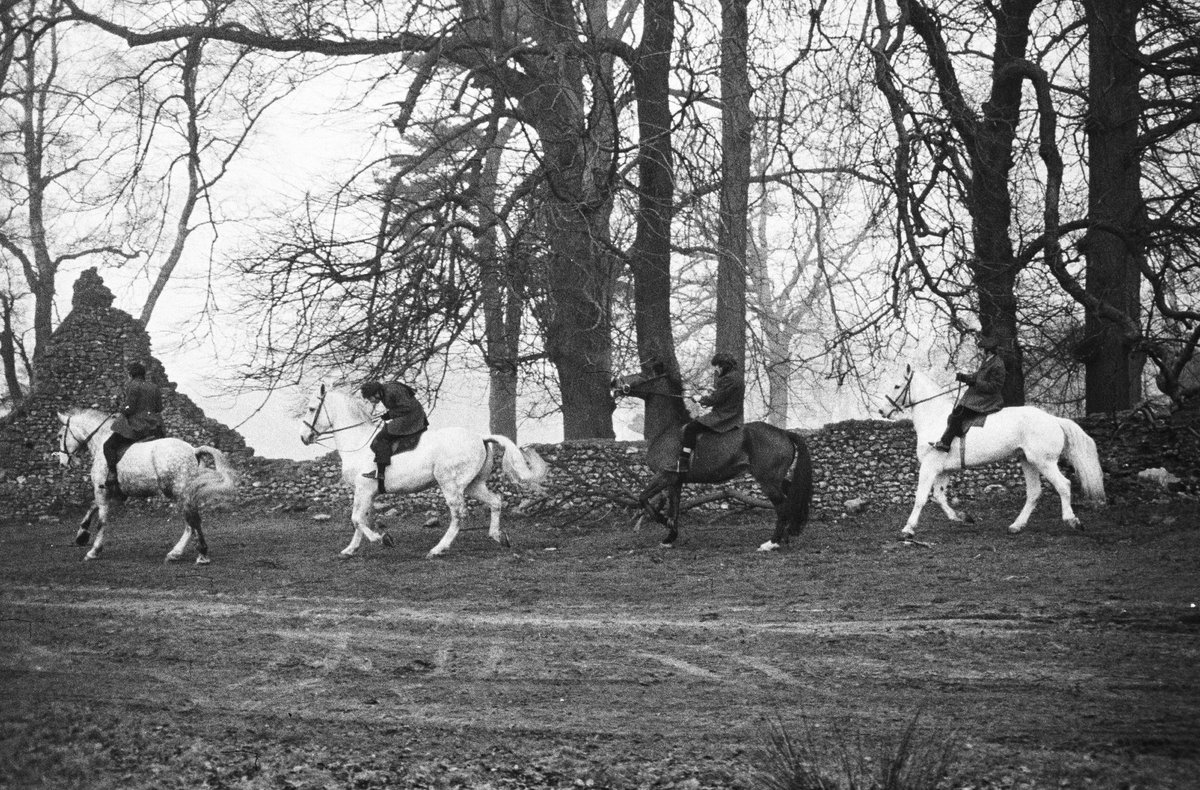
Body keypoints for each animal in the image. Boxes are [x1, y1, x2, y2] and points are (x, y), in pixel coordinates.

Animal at [53, 409, 239, 563]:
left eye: (60, 435)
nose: (62, 463)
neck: (100, 440)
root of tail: (193, 450)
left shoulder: (102, 491)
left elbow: (101, 520)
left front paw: (94, 550)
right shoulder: (115, 494)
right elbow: (92, 507)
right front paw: (82, 535)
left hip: (179, 493)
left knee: (191, 522)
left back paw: (194, 554)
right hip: (186, 493)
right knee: (192, 523)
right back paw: (184, 553)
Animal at [300, 383, 549, 558]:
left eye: (311, 409)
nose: (303, 438)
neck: (358, 442)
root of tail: (481, 437)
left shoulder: (363, 489)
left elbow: (357, 520)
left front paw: (383, 540)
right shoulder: (367, 493)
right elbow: (360, 521)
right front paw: (350, 550)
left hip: (450, 484)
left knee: (458, 515)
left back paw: (438, 549)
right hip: (473, 484)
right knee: (496, 501)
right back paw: (498, 537)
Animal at [611, 362, 813, 551]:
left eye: (642, 374)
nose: (613, 383)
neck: (666, 430)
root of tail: (783, 433)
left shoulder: (665, 475)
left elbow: (643, 498)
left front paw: (661, 520)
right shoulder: (675, 481)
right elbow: (674, 508)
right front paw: (670, 537)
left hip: (768, 480)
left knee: (782, 507)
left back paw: (772, 543)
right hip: (777, 478)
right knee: (790, 496)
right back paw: (786, 536)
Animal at [882, 364, 1106, 537]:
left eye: (897, 386)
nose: (882, 411)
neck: (934, 418)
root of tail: (1054, 419)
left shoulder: (929, 467)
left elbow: (921, 497)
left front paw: (908, 529)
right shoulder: (943, 470)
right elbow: (939, 496)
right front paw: (962, 517)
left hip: (1045, 462)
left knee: (1064, 485)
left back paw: (1073, 521)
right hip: (1028, 461)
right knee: (1034, 493)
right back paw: (1016, 526)